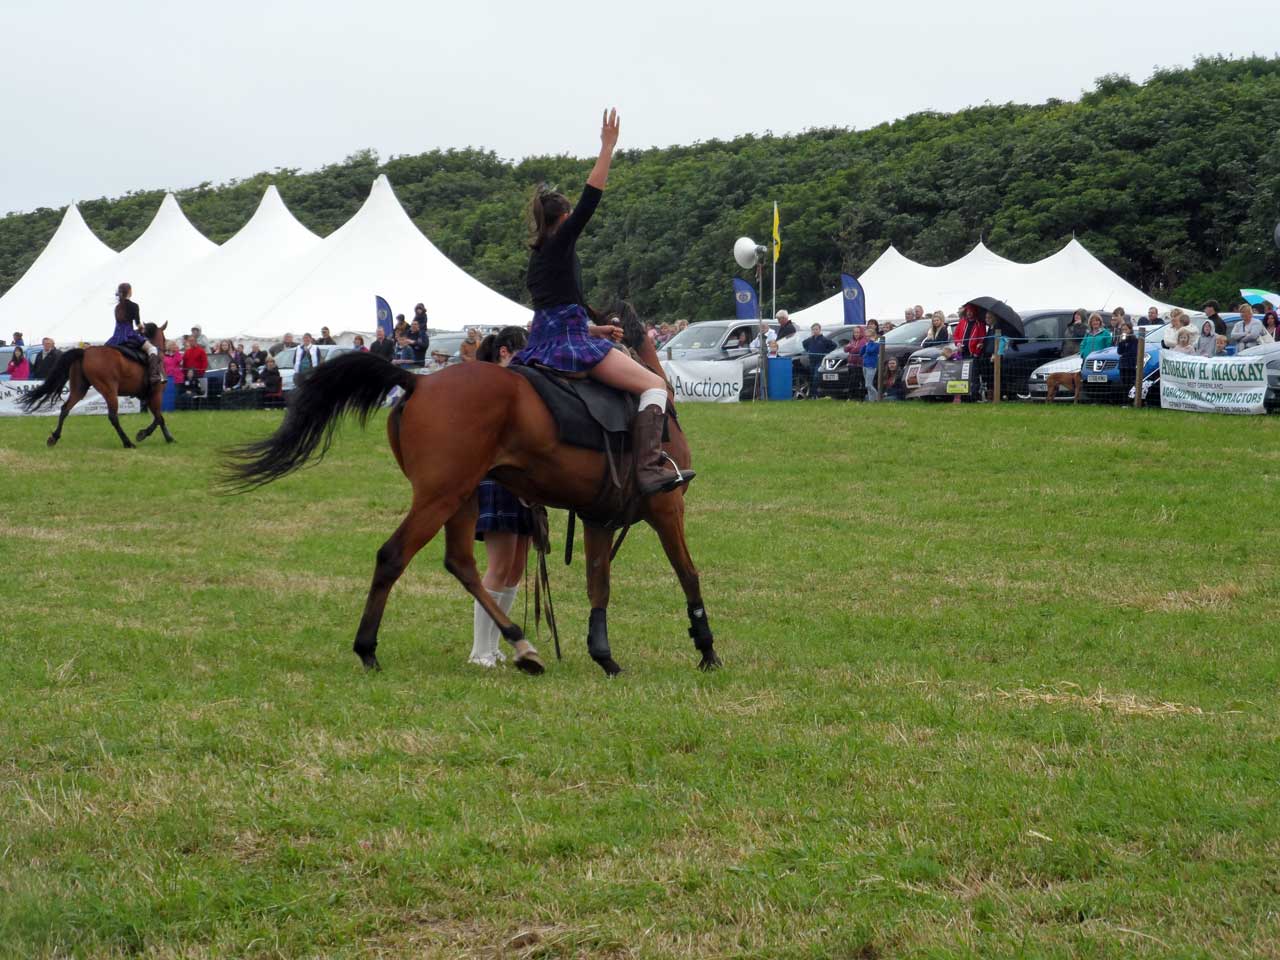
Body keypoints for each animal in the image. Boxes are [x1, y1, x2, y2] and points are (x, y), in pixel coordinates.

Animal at [19, 325, 175, 450]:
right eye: (164, 337)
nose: (168, 350)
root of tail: (85, 352)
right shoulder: (156, 394)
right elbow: (159, 418)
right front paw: (148, 435)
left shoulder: (147, 396)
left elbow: (159, 417)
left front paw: (161, 436)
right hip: (109, 391)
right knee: (113, 416)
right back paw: (127, 443)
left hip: (79, 389)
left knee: (65, 409)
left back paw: (54, 437)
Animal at [222, 312, 721, 680]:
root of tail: (420, 381)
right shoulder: (667, 508)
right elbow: (689, 575)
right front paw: (706, 648)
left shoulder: (598, 518)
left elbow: (599, 586)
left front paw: (604, 656)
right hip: (440, 497)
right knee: (393, 556)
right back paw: (370, 649)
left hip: (461, 498)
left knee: (461, 563)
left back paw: (520, 644)